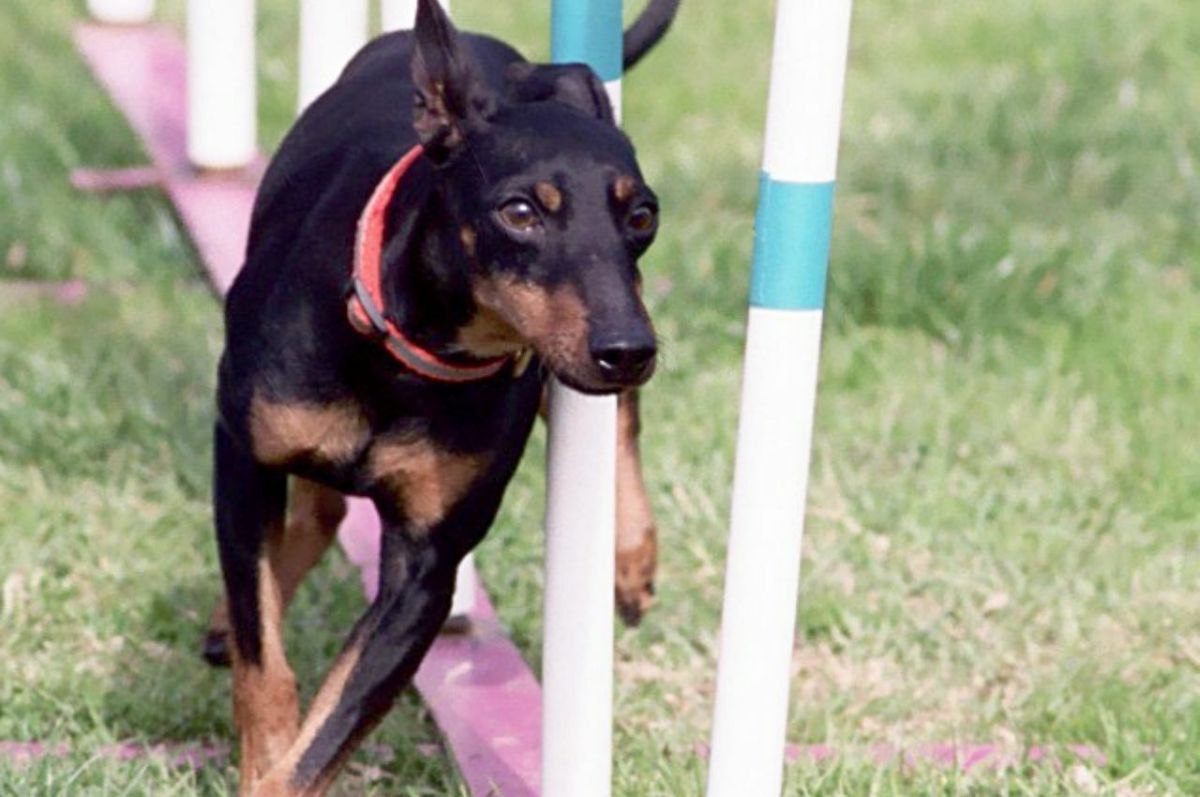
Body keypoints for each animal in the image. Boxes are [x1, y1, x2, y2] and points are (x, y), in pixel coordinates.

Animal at [201, 1, 681, 792]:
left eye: (642, 215)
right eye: (520, 211)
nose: (627, 352)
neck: (408, 355)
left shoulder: (425, 573)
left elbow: (326, 736)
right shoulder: (242, 460)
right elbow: (263, 665)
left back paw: (632, 554)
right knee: (317, 512)